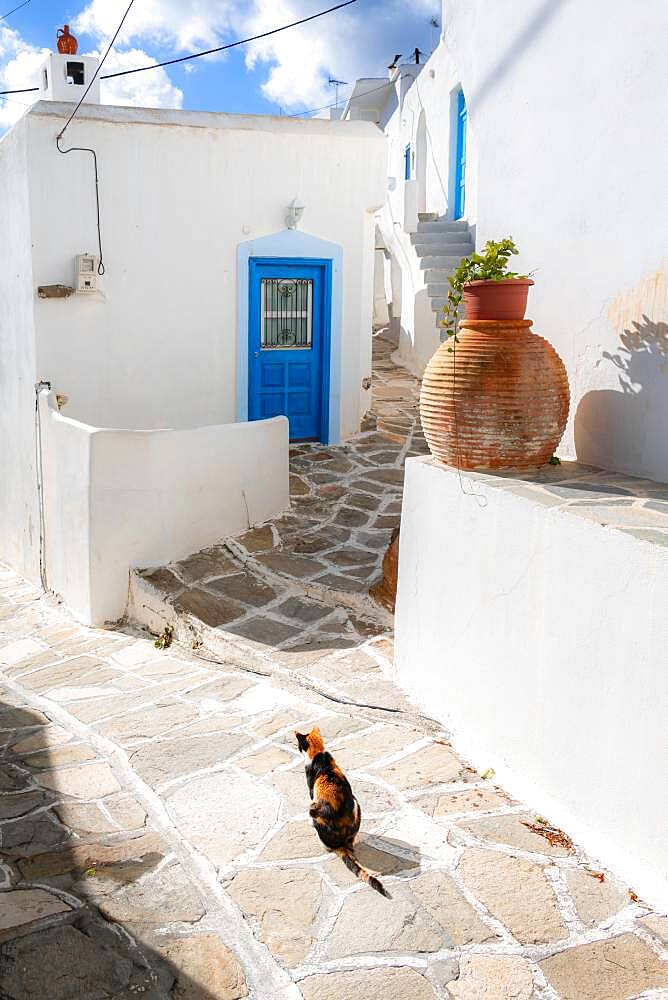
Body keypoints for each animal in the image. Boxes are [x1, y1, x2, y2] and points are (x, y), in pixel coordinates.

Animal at [294, 724, 388, 896]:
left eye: (299, 745)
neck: (319, 754)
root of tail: (343, 842)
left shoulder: (311, 791)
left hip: (314, 811)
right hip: (356, 803)